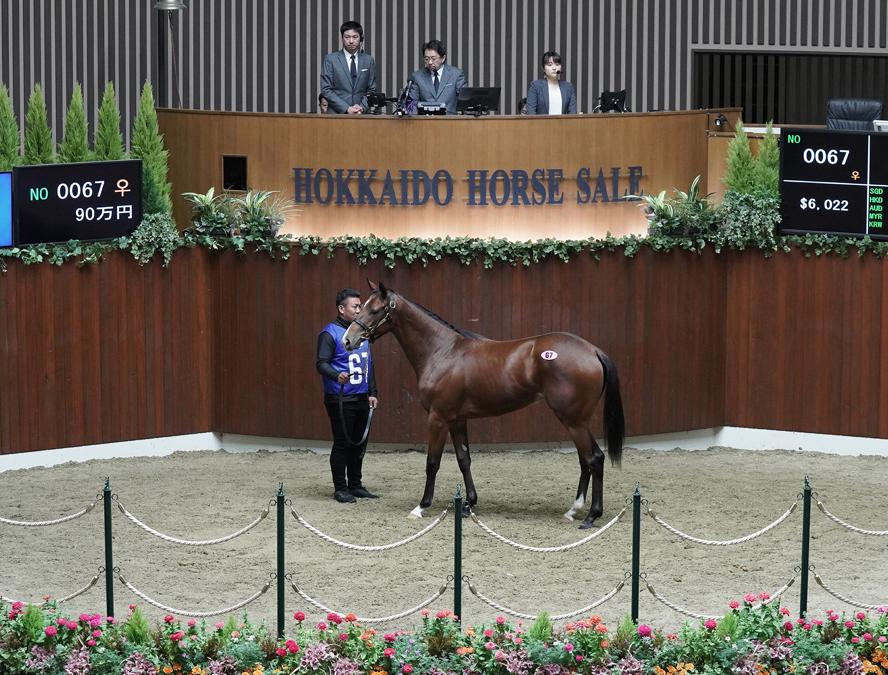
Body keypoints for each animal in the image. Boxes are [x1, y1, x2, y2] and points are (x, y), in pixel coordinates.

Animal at [342, 282, 625, 529]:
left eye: (375, 310)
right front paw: (469, 504)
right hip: (575, 420)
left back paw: (591, 516)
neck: (443, 352)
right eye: (360, 307)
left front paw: (421, 507)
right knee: (585, 460)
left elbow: (432, 462)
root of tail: (593, 350)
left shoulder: (438, 418)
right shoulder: (457, 419)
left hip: (573, 420)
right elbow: (464, 459)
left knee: (594, 458)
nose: (348, 340)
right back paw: (573, 511)